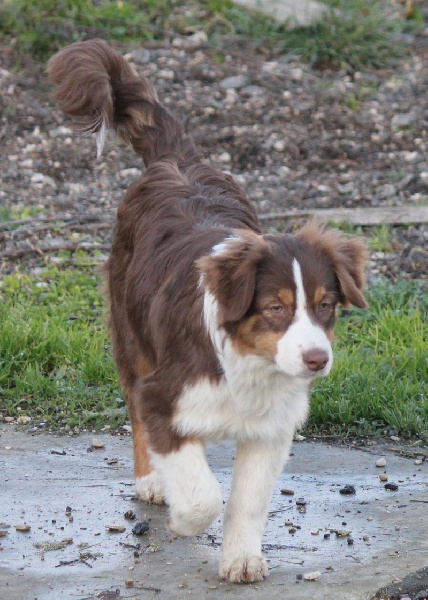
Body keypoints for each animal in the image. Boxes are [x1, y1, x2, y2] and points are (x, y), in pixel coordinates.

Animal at [47, 39, 368, 584]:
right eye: (276, 307)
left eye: (325, 305)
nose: (316, 361)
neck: (247, 364)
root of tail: (177, 161)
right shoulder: (163, 394)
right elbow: (202, 492)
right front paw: (182, 517)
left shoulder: (272, 428)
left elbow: (247, 500)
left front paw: (241, 559)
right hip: (131, 336)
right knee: (134, 407)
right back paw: (152, 482)